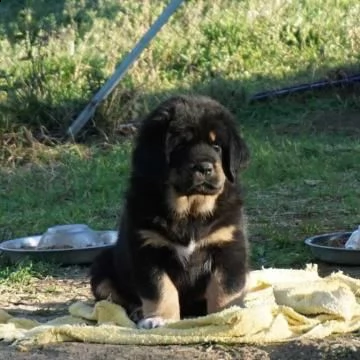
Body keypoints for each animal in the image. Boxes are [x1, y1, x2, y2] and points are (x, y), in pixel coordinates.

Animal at [90, 95, 250, 330]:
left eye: (217, 146)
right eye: (181, 145)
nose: (204, 167)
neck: (190, 211)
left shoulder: (228, 244)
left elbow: (224, 288)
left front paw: (226, 314)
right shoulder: (148, 248)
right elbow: (161, 289)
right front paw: (160, 318)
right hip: (102, 265)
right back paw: (139, 311)